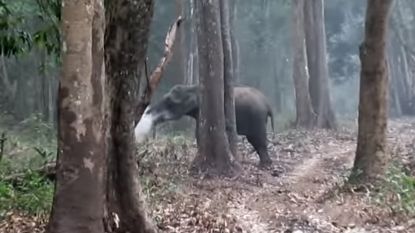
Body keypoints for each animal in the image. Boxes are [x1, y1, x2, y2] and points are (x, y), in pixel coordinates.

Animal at [134, 83, 276, 166]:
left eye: (169, 101)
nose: (147, 113)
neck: (193, 87)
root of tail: (268, 103)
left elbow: (199, 132)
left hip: (256, 117)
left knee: (257, 139)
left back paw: (265, 165)